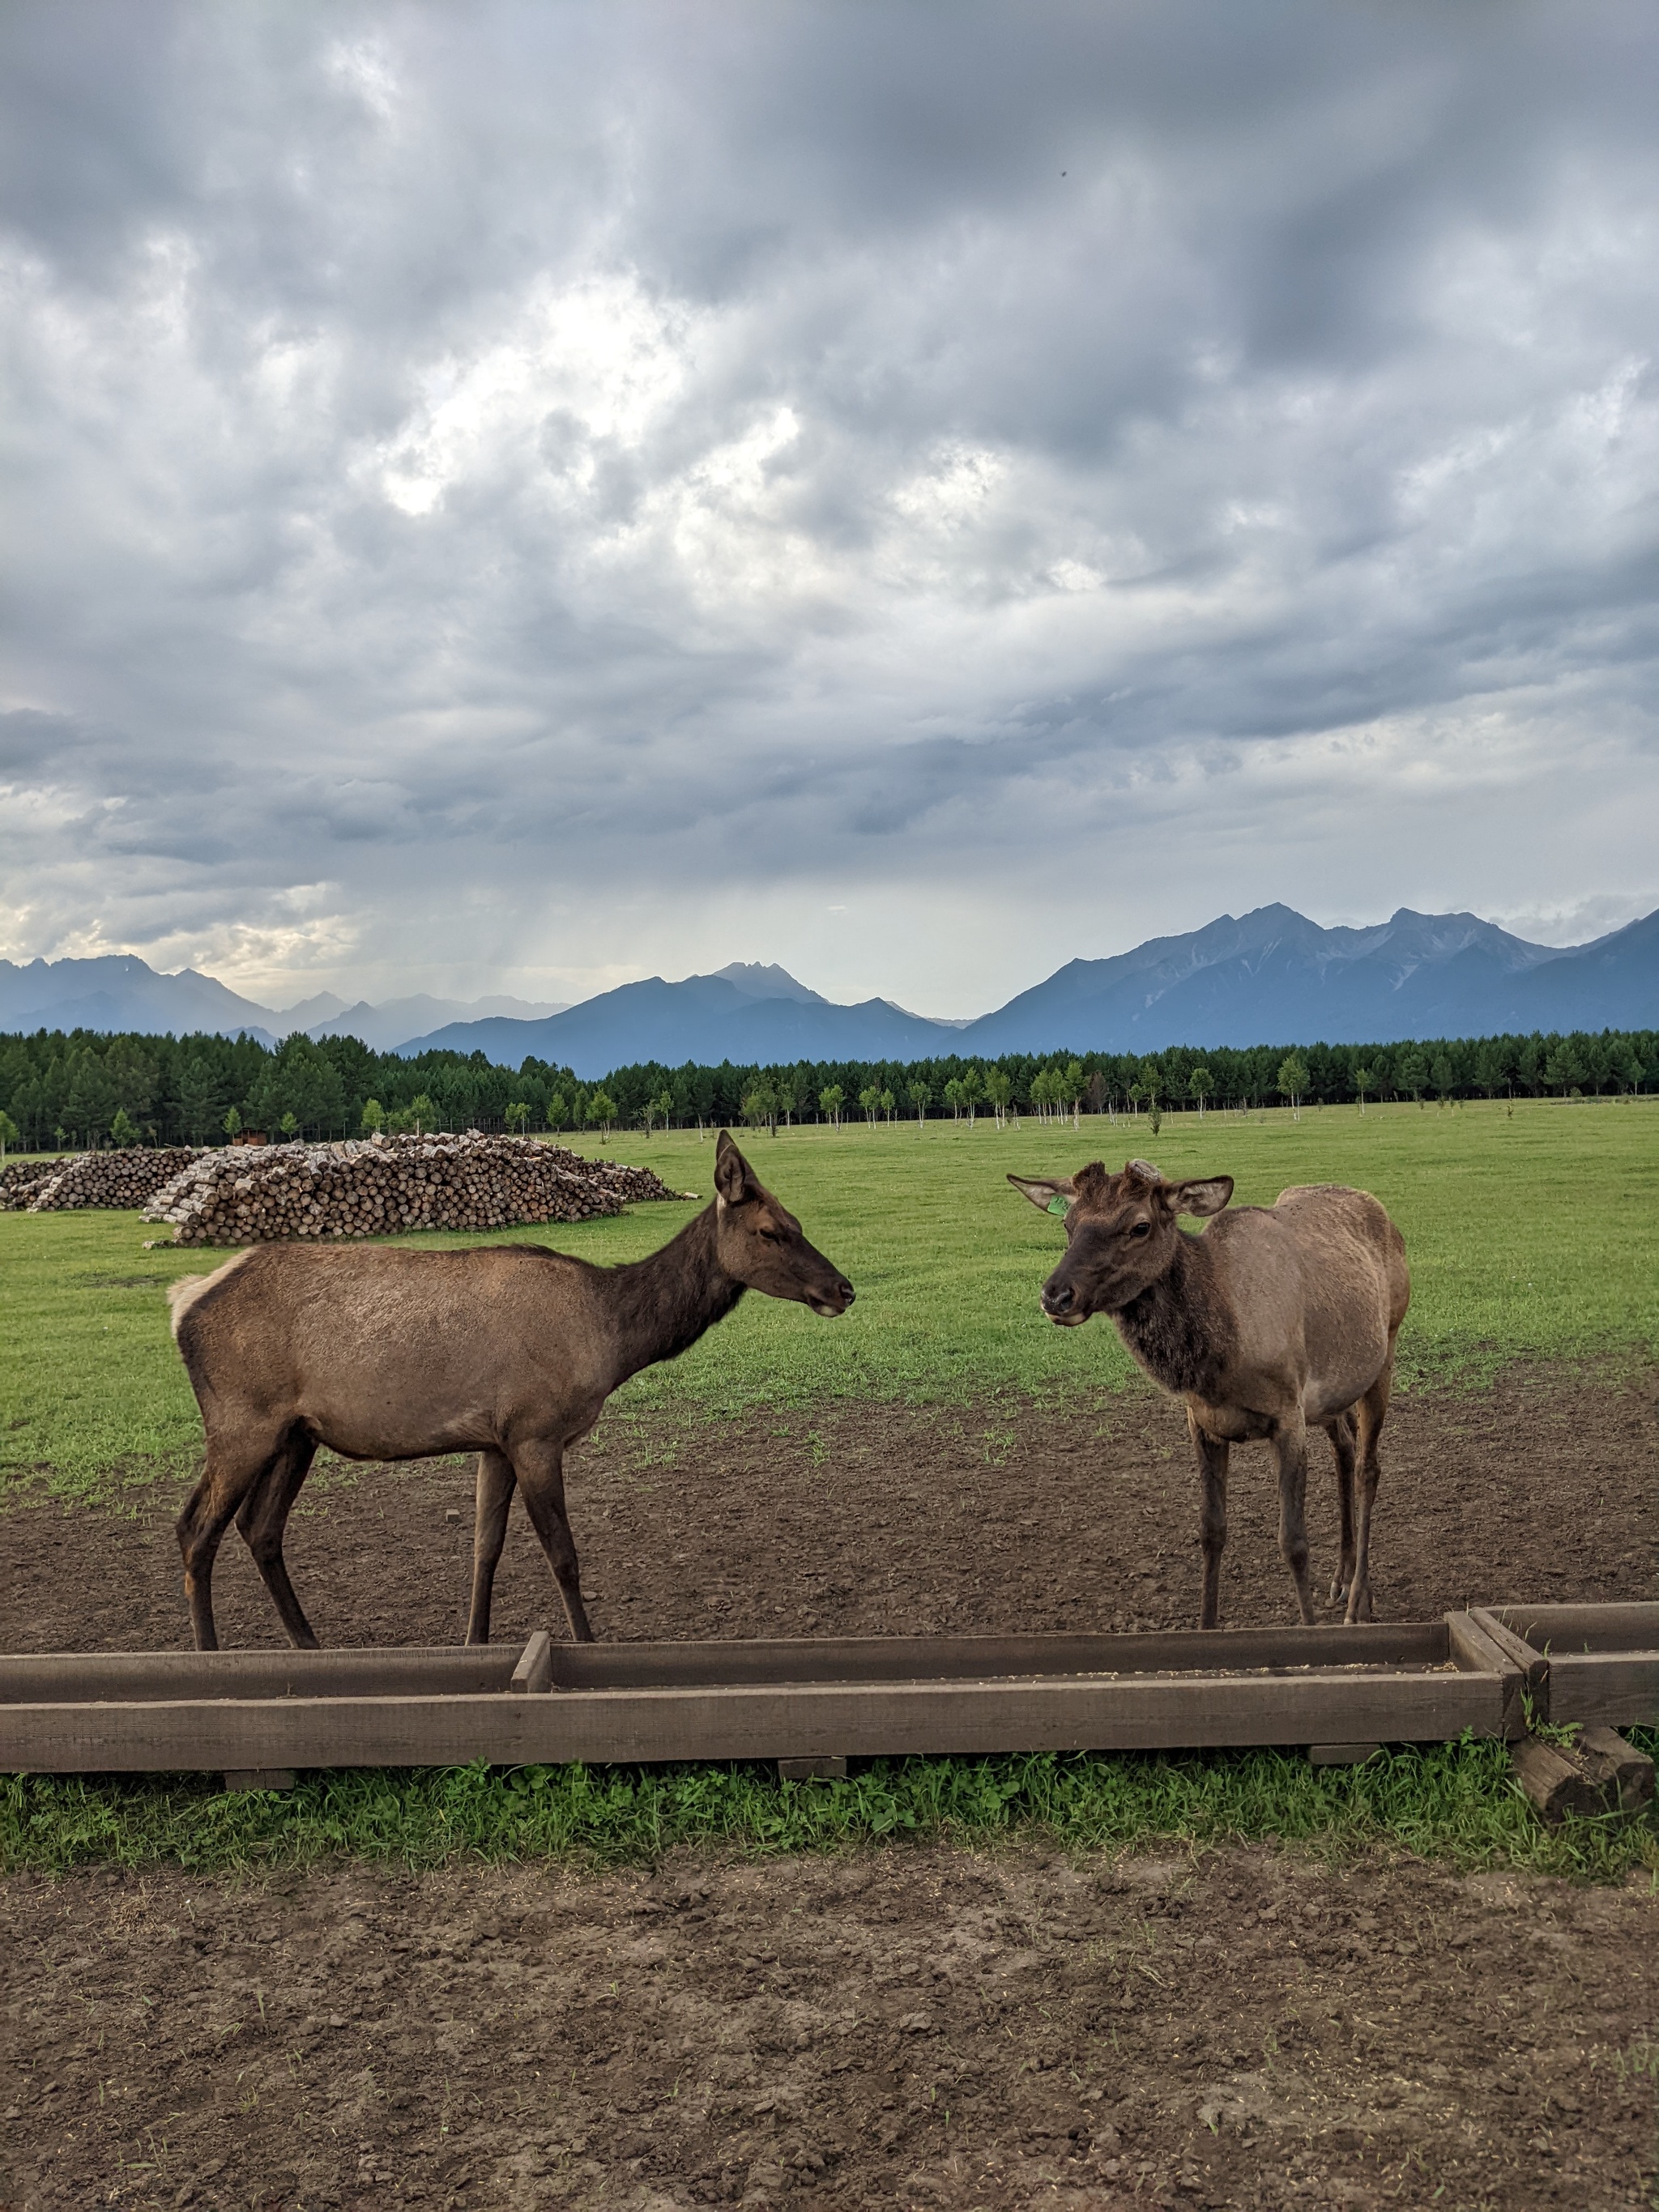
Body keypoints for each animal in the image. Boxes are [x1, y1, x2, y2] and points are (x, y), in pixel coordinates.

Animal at [170, 1141, 858, 1645]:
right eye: (771, 1230)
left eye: (798, 1221)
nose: (844, 1288)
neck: (609, 1339)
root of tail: (184, 1302)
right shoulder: (534, 1431)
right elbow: (564, 1555)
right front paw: (587, 1643)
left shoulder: (493, 1440)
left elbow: (485, 1549)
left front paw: (473, 1641)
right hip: (241, 1423)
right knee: (195, 1529)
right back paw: (210, 1655)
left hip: (294, 1435)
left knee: (260, 1529)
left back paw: (309, 1644)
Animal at [1009, 1159, 1406, 1628]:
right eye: (1068, 1224)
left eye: (1140, 1226)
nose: (1055, 1295)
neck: (1222, 1359)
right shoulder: (1203, 1421)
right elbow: (1211, 1530)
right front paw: (1206, 1623)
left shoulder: (1288, 1416)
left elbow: (1293, 1541)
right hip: (1333, 1393)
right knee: (1344, 1447)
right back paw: (1341, 1578)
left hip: (1385, 1351)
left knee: (1368, 1467)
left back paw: (1359, 1598)